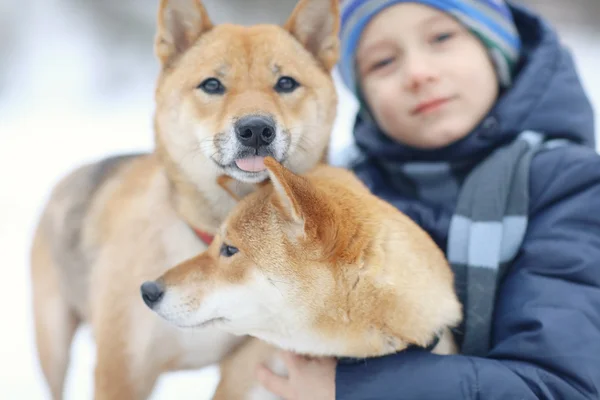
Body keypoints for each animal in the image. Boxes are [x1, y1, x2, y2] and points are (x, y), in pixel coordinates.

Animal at [30, 0, 340, 396]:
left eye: (285, 83)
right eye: (212, 84)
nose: (256, 129)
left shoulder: (249, 365)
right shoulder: (121, 372)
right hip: (53, 344)